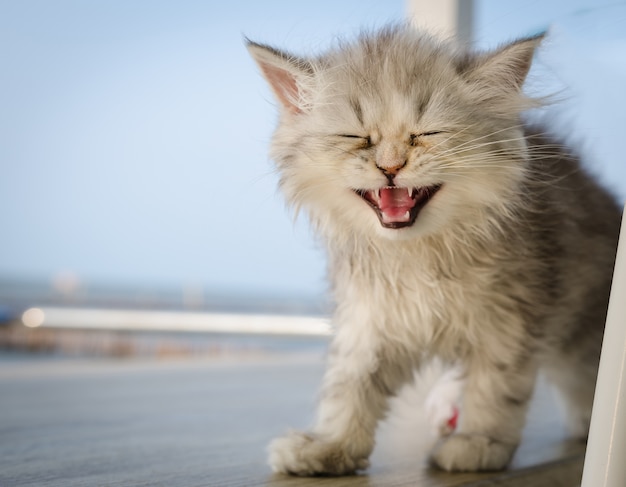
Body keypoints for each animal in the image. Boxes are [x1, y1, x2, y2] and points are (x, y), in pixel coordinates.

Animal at [245, 24, 620, 474]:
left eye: (426, 134)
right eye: (355, 138)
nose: (390, 167)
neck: (417, 254)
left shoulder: (512, 320)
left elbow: (494, 386)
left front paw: (478, 442)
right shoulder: (369, 319)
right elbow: (348, 387)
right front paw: (330, 446)